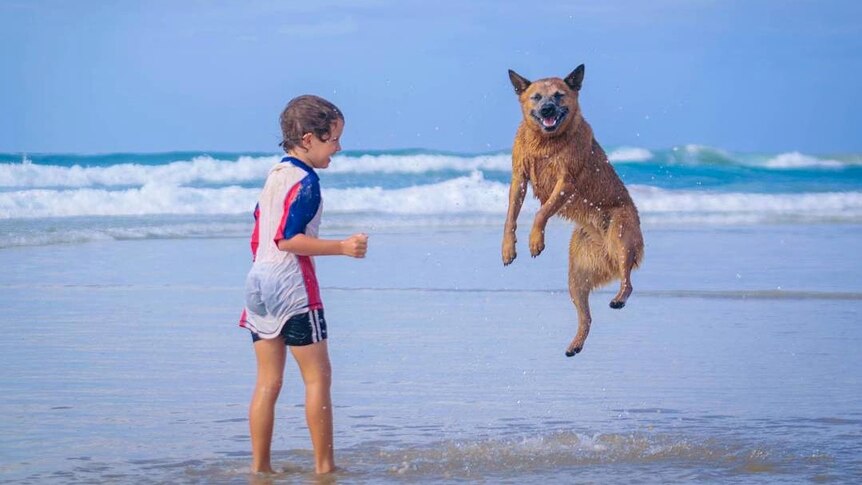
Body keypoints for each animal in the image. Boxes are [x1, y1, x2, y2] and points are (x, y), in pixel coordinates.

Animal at [502, 65, 644, 356]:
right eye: (536, 97)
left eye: (559, 95)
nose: (547, 109)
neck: (544, 143)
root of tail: (607, 255)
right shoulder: (519, 178)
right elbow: (511, 216)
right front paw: (508, 248)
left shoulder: (565, 182)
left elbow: (541, 212)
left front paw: (535, 241)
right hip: (576, 274)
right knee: (586, 316)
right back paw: (576, 344)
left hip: (621, 234)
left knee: (628, 278)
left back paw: (620, 298)